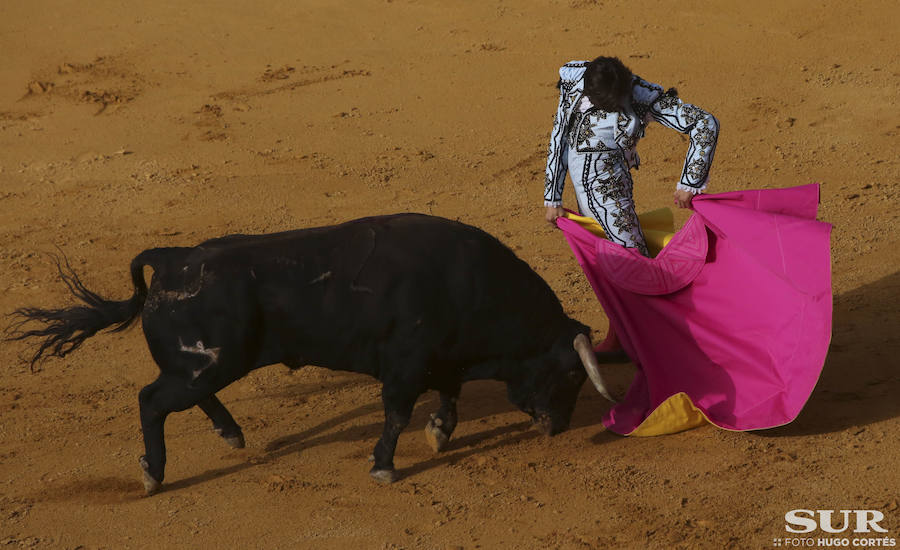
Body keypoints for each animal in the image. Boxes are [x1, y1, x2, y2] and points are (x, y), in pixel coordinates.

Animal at [7, 215, 616, 496]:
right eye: (571, 375)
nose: (559, 427)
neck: (473, 284)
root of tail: (174, 259)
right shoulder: (405, 364)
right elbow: (398, 413)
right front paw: (384, 466)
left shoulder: (442, 358)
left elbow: (449, 394)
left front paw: (440, 432)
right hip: (209, 363)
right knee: (152, 401)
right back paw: (154, 475)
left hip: (204, 365)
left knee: (183, 396)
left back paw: (232, 435)